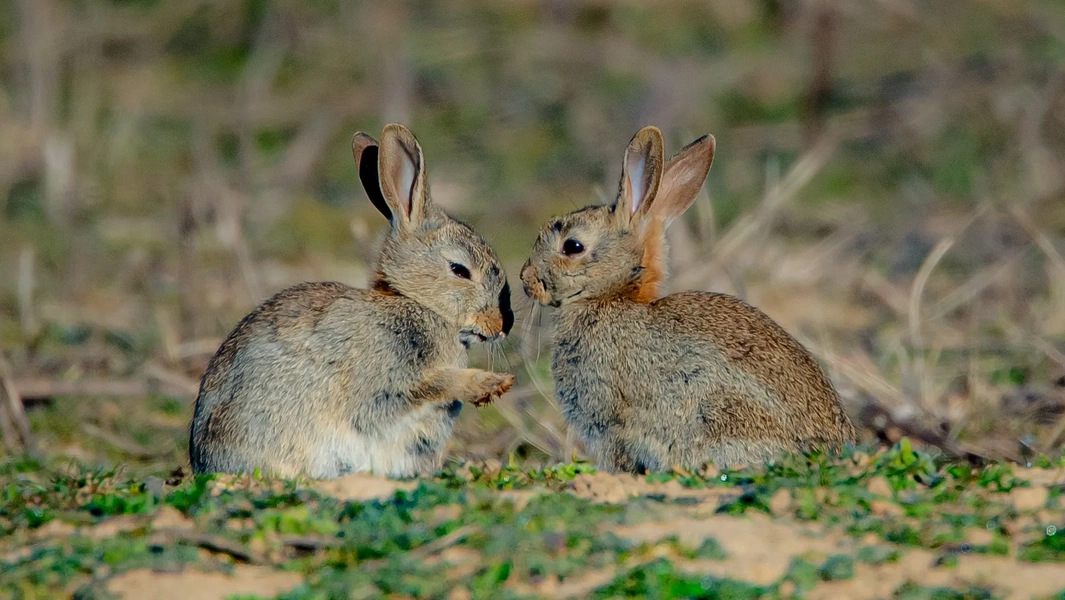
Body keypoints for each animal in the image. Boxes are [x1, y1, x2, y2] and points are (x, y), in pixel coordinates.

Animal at [189, 123, 516, 480]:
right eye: (459, 269)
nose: (503, 325)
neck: (416, 303)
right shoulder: (383, 383)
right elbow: (421, 388)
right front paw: (490, 383)